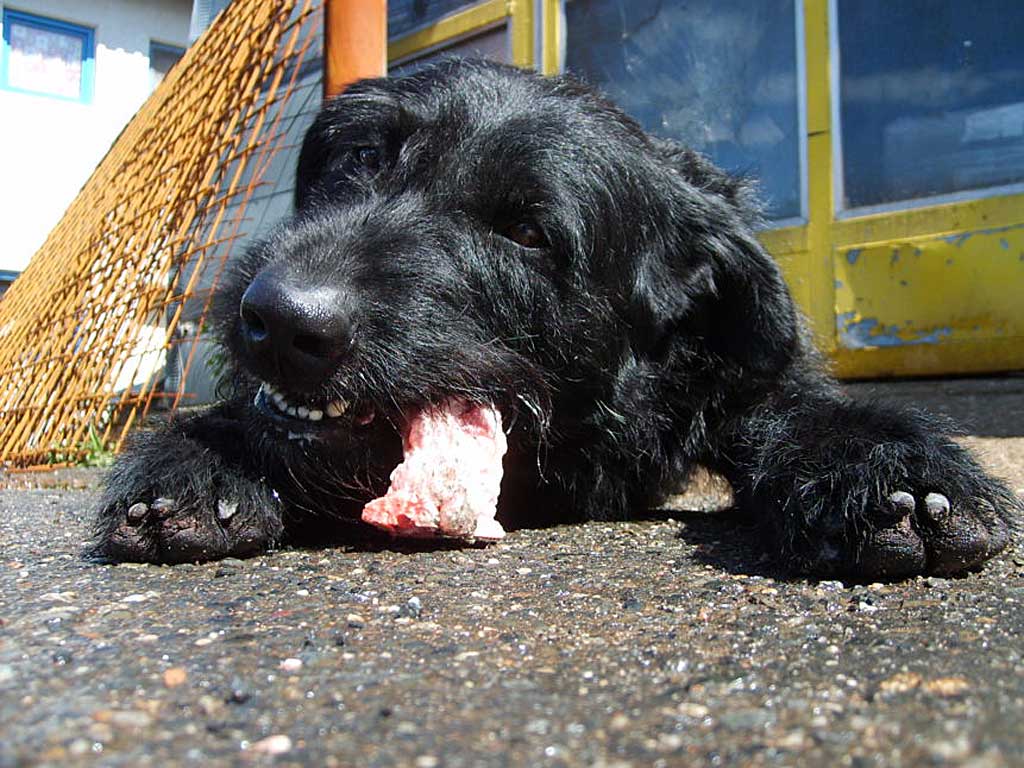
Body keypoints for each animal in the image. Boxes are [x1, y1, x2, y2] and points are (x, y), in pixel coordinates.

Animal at [94, 60, 1015, 577]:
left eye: (528, 233)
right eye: (360, 157)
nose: (279, 318)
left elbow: (802, 409)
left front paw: (883, 461)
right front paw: (205, 453)